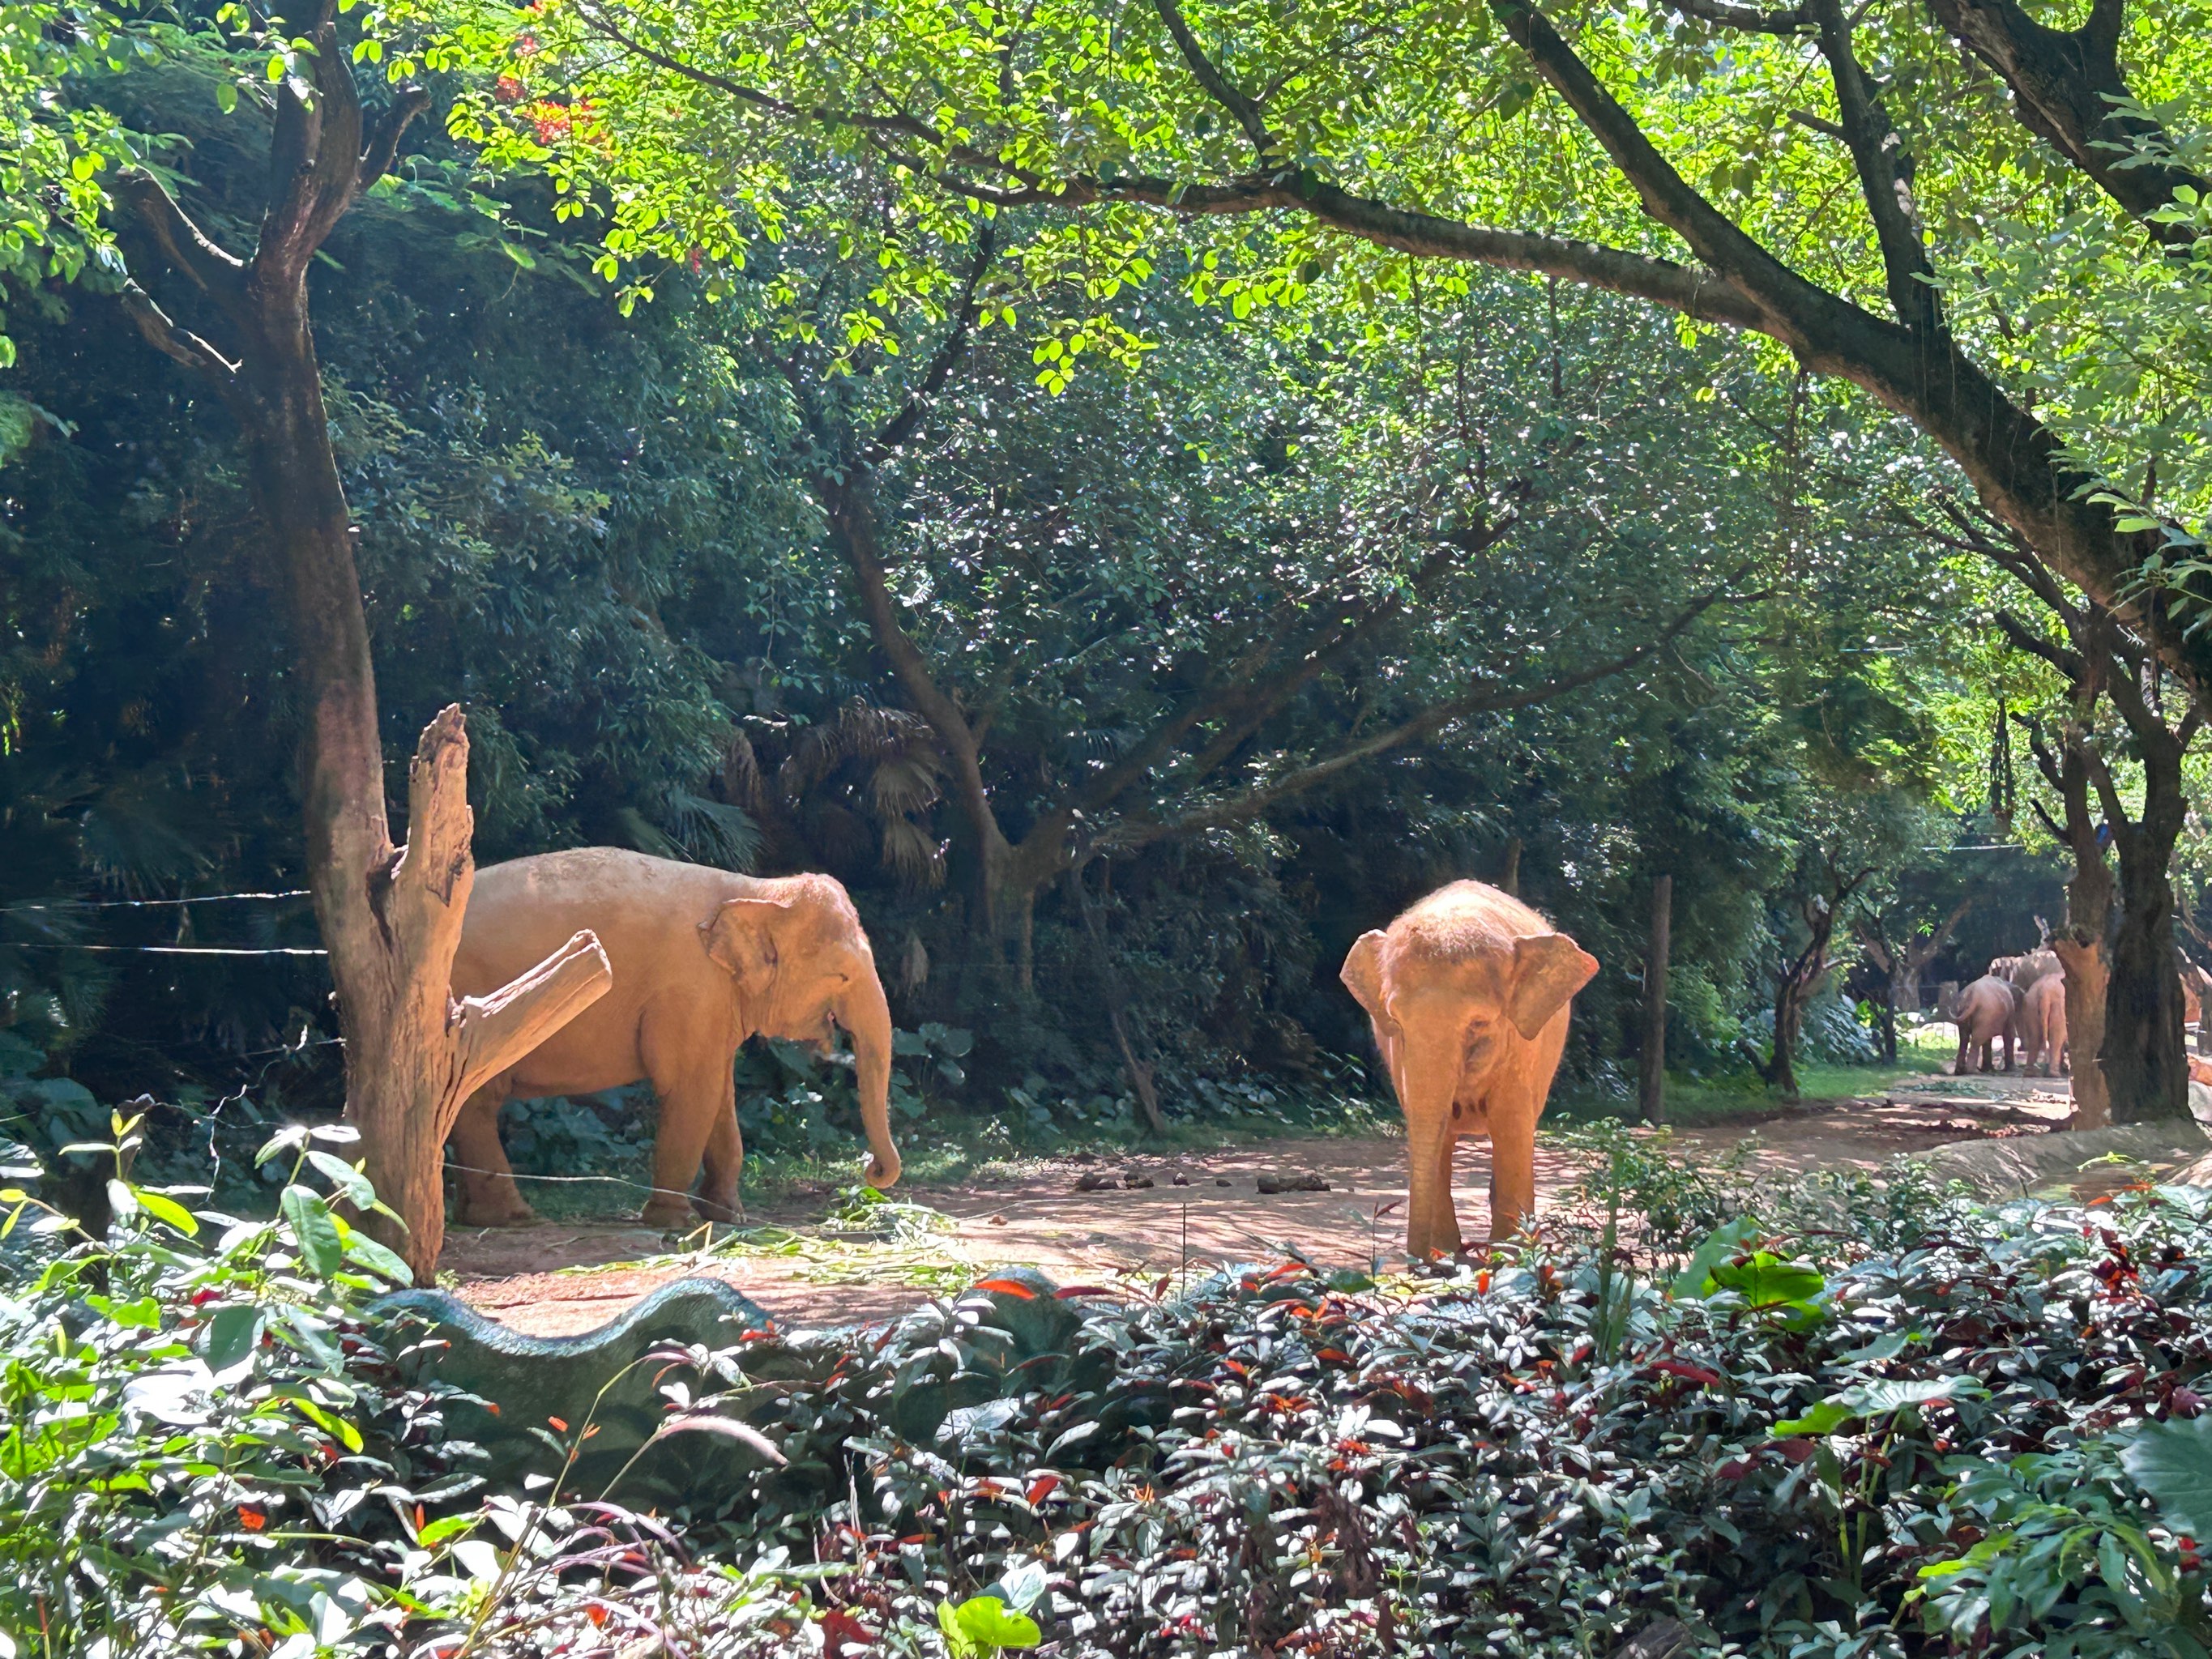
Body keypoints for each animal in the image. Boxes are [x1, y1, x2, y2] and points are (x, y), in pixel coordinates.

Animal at [444, 858, 902, 1239]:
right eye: (842, 975)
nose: (871, 1169)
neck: (756, 890)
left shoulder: (713, 1003)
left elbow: (721, 1096)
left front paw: (731, 1216)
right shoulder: (690, 991)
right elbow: (691, 1091)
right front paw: (675, 1222)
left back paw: (476, 1216)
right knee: (478, 1100)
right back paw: (516, 1218)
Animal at [1335, 885, 1601, 1256]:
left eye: (1478, 1024)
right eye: (1396, 1023)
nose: (1418, 1262)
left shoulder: (1520, 1051)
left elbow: (1511, 1127)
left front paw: (1509, 1257)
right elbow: (1437, 1136)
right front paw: (1446, 1254)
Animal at [1955, 973, 2026, 1079]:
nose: (2021, 1048)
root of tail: (1972, 994)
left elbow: (1988, 1040)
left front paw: (1989, 1070)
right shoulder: (2010, 1011)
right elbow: (2009, 1035)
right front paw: (2014, 1070)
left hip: (1965, 1013)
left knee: (1964, 1038)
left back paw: (1960, 1071)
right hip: (1985, 1012)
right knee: (1976, 1040)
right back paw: (1974, 1072)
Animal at [2026, 973, 2070, 1079]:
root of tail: (2044, 991)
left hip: (2031, 1004)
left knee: (2035, 1037)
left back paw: (2031, 1073)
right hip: (2059, 1007)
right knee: (2056, 1039)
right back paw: (2055, 1075)